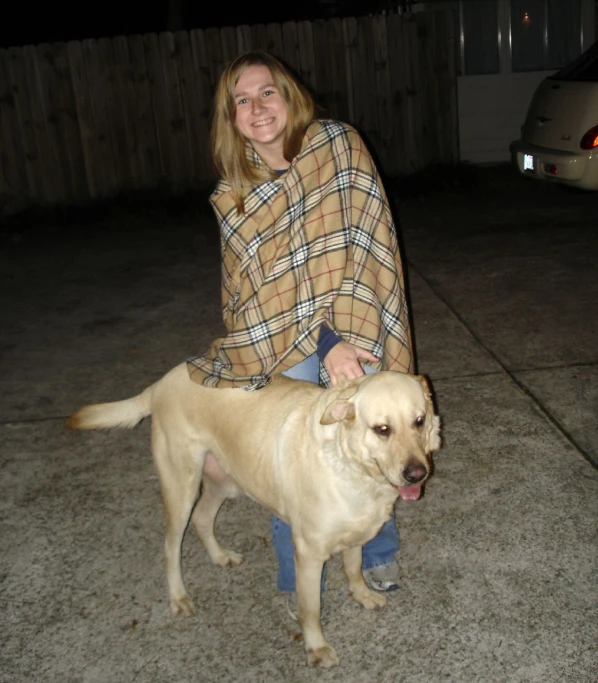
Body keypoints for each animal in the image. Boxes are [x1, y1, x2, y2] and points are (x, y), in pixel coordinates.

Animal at [68, 364, 442, 668]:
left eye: (419, 421)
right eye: (382, 429)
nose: (417, 474)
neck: (351, 466)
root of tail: (162, 382)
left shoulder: (357, 532)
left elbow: (353, 569)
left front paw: (362, 596)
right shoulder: (308, 554)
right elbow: (310, 611)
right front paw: (316, 649)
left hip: (225, 481)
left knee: (203, 518)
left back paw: (221, 556)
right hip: (181, 486)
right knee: (170, 547)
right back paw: (179, 597)